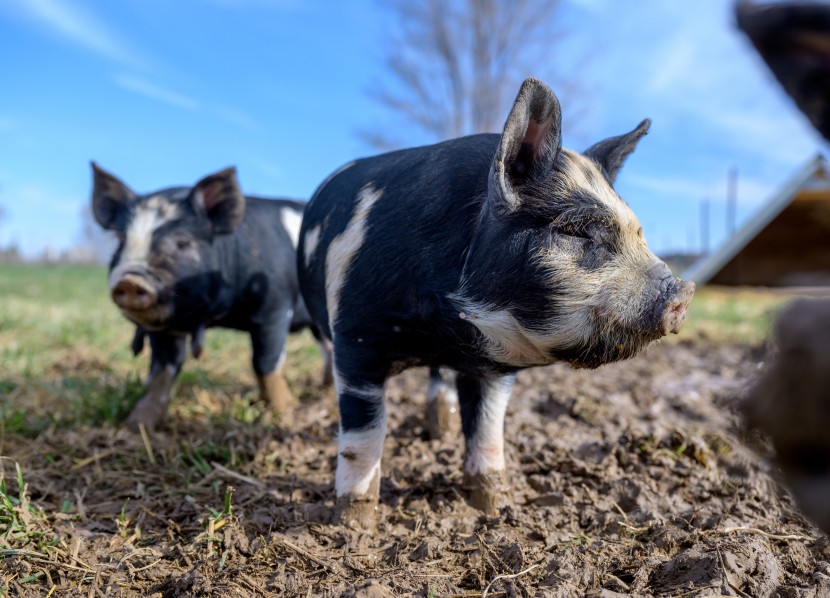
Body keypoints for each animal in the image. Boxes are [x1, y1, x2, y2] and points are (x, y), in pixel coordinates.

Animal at [92, 165, 334, 432]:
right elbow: (161, 370)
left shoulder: (275, 309)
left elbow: (265, 362)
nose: (130, 281)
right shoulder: (164, 327)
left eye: (182, 242)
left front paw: (285, 412)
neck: (214, 316)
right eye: (121, 241)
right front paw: (135, 425)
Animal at [300, 77, 696, 532]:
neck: (448, 327)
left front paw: (492, 509)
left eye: (639, 233)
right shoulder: (356, 338)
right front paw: (354, 525)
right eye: (577, 231)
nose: (682, 292)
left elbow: (488, 432)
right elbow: (364, 436)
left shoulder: (494, 367)